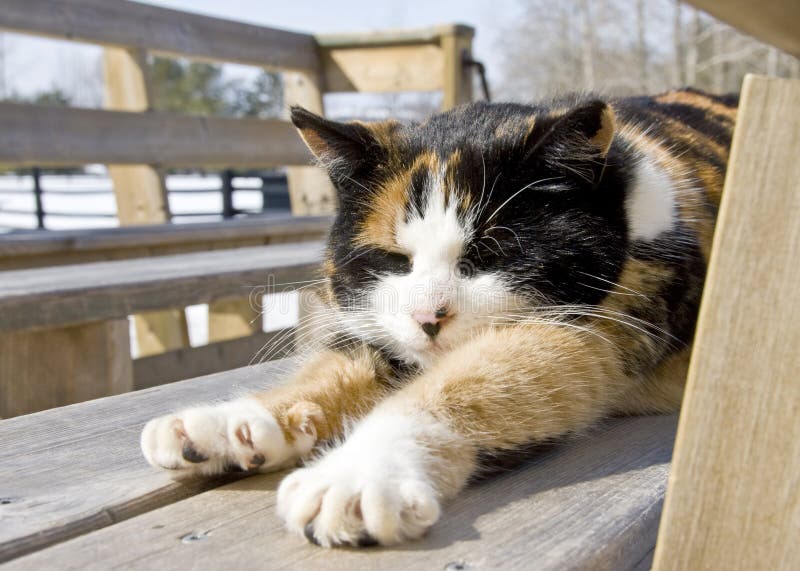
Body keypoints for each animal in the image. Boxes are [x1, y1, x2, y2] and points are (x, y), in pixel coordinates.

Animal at [142, 87, 736, 548]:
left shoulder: (602, 321)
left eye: (491, 256)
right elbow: (339, 365)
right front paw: (229, 424)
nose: (429, 316)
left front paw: (358, 476)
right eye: (393, 260)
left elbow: (474, 376)